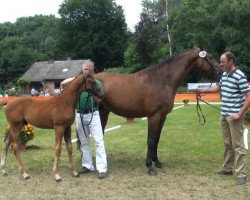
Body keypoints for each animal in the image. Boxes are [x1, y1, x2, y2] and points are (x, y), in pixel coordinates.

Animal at [95, 47, 221, 176]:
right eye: (210, 57)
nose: (220, 71)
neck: (161, 80)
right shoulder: (154, 116)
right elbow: (151, 140)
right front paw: (150, 166)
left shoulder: (162, 116)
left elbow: (157, 139)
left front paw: (157, 162)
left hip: (103, 112)